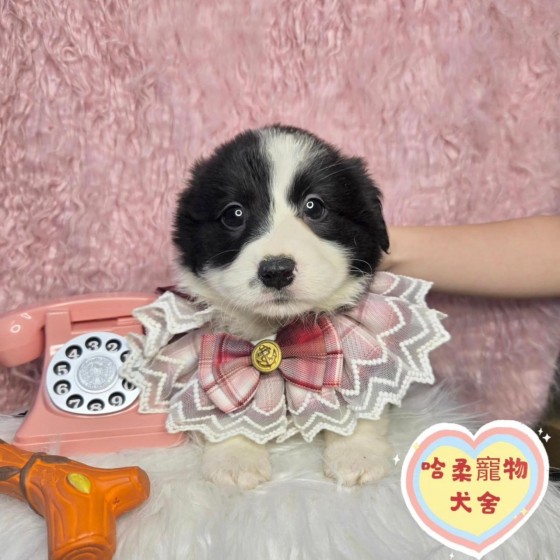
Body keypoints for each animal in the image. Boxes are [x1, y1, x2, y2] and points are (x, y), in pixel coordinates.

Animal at [172, 125, 392, 489]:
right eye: (234, 213)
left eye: (314, 207)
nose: (276, 270)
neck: (278, 328)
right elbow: (226, 409)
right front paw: (235, 458)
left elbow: (362, 396)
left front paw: (357, 454)